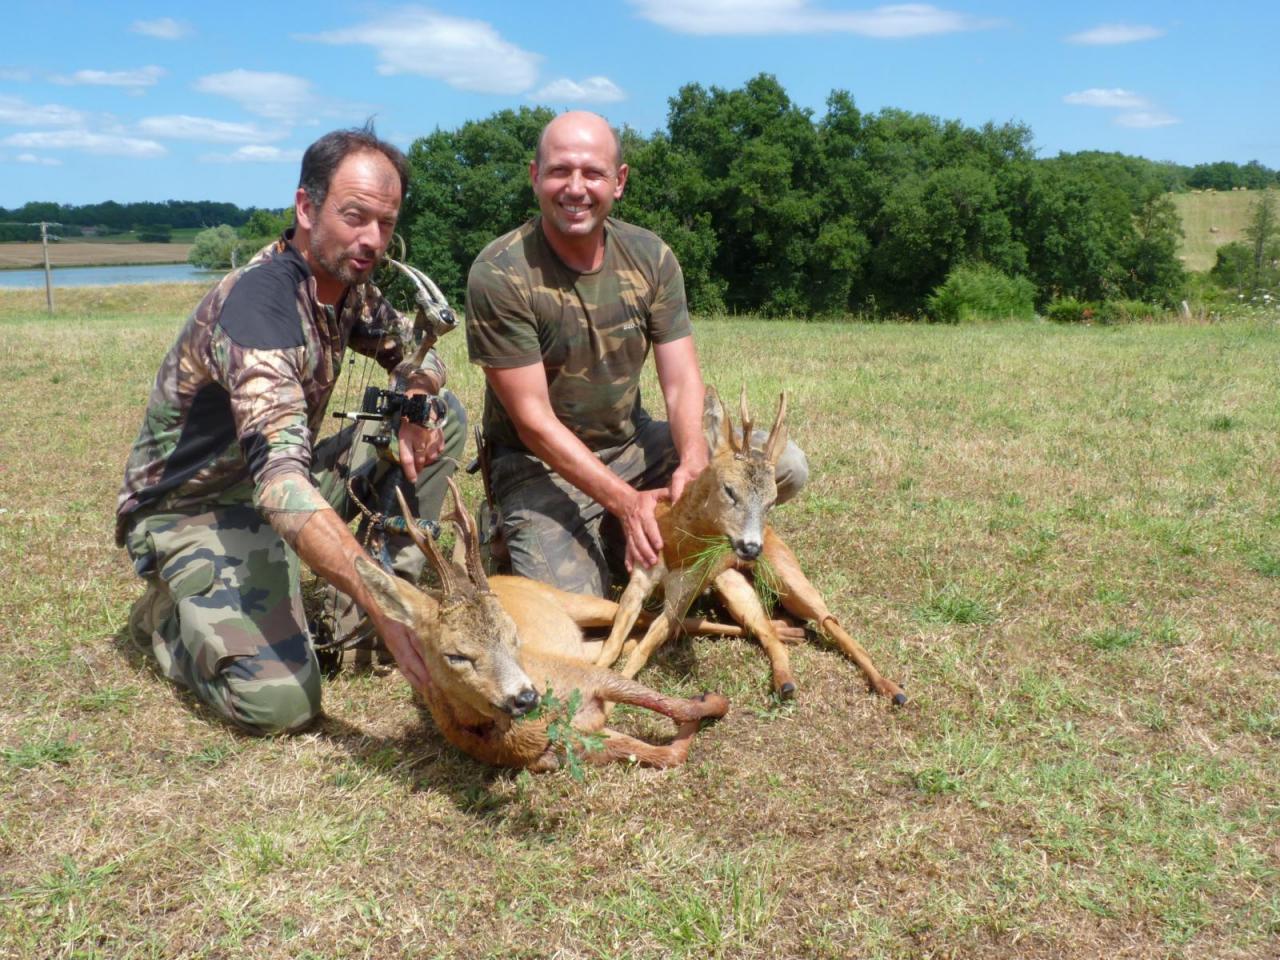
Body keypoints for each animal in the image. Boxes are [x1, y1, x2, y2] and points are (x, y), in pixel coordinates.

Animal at [350, 481, 732, 773]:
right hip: (581, 642)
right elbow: (669, 754)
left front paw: (712, 698)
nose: (526, 697)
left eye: (513, 635)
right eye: (455, 655)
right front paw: (700, 709)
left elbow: (679, 707)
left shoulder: (588, 676)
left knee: (651, 618)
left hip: (576, 602)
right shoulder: (574, 743)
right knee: (629, 636)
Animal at [593, 386, 906, 711]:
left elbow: (640, 653)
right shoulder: (640, 576)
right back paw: (786, 679)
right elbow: (612, 644)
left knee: (829, 620)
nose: (752, 547)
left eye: (771, 501)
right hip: (731, 582)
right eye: (730, 490)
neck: (677, 546)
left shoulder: (683, 594)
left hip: (785, 575)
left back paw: (890, 687)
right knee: (767, 629)